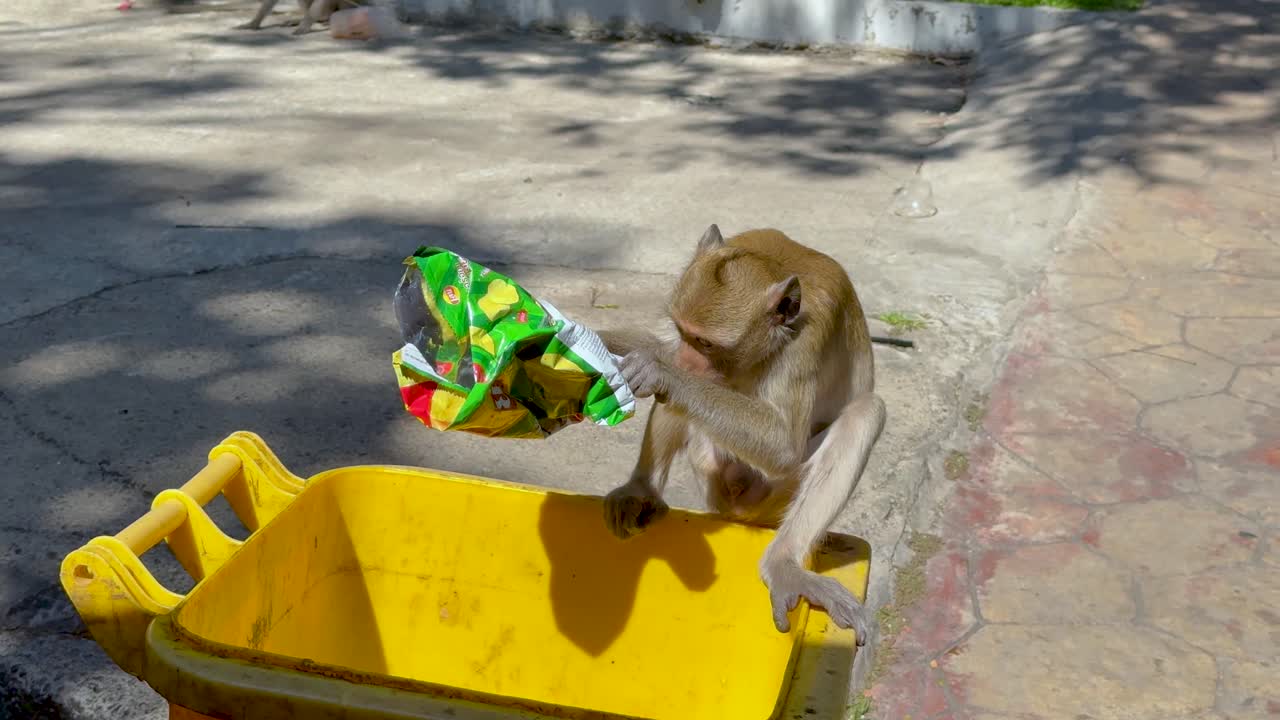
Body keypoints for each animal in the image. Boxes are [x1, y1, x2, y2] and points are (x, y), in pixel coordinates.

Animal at [599, 225, 886, 645]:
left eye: (706, 343)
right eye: (685, 332)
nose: (687, 360)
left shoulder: (805, 342)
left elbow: (784, 447)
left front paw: (662, 373)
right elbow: (664, 358)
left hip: (765, 498)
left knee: (865, 413)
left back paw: (783, 562)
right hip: (709, 469)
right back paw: (642, 489)